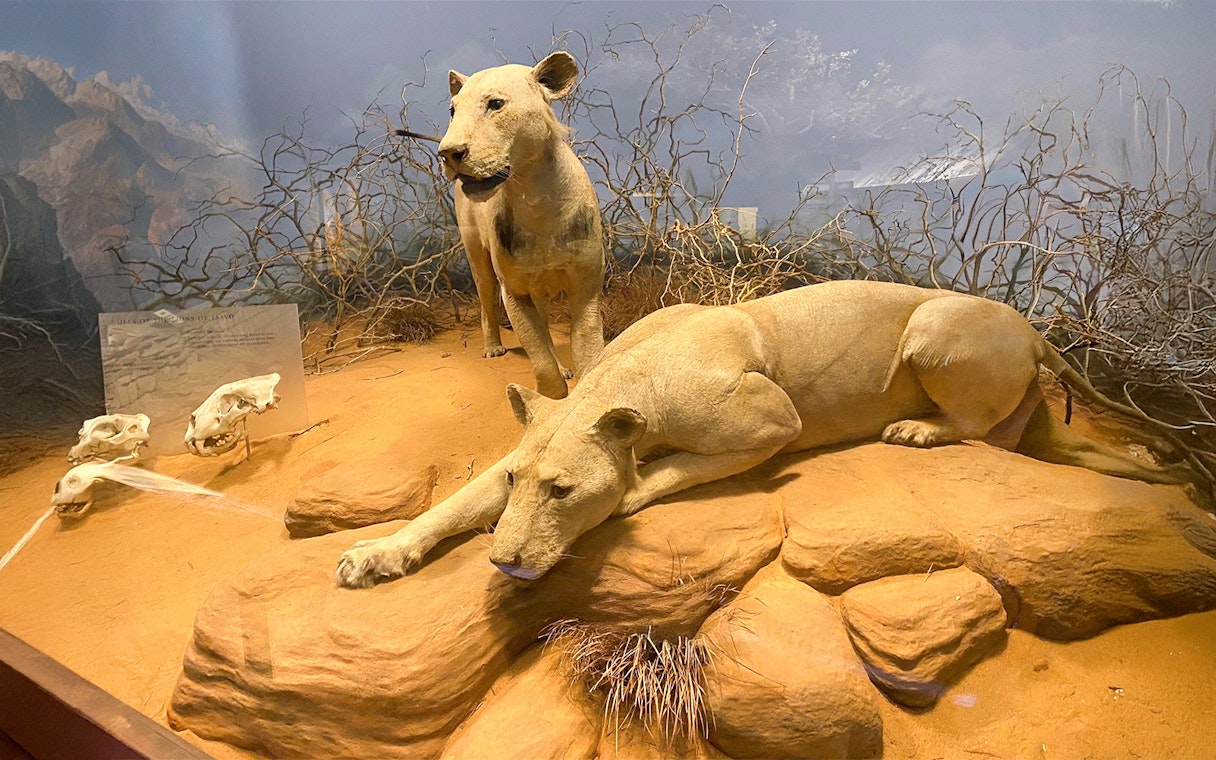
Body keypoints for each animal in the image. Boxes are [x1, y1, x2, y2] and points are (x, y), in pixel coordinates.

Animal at [337, 280, 1198, 588]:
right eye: (523, 483)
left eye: (564, 491)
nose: (506, 564)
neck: (623, 386)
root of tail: (1038, 331)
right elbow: (451, 506)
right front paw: (378, 554)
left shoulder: (774, 423)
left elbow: (671, 472)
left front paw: (630, 490)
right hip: (1038, 425)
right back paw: (1158, 458)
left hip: (931, 328)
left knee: (974, 431)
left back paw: (916, 430)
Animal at [439, 52, 605, 399]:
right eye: (452, 110)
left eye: (495, 104)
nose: (448, 153)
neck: (536, 200)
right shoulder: (513, 292)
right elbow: (540, 361)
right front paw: (548, 400)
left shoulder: (586, 287)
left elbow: (588, 353)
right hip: (478, 260)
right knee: (486, 302)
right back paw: (492, 347)